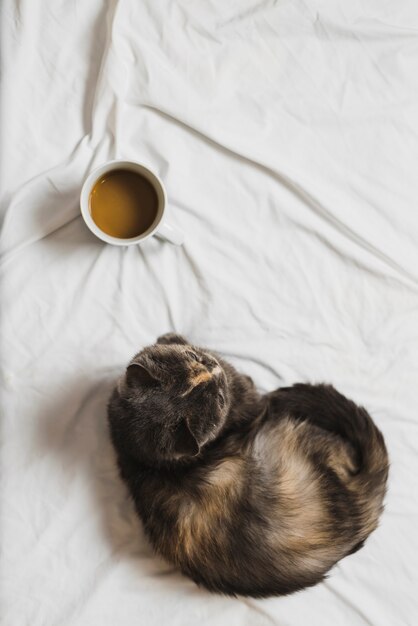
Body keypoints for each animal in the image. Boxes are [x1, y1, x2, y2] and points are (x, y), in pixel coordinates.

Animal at [107, 332, 388, 596]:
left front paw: (168, 337)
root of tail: (360, 521)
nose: (213, 367)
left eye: (194, 358)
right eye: (220, 400)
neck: (146, 461)